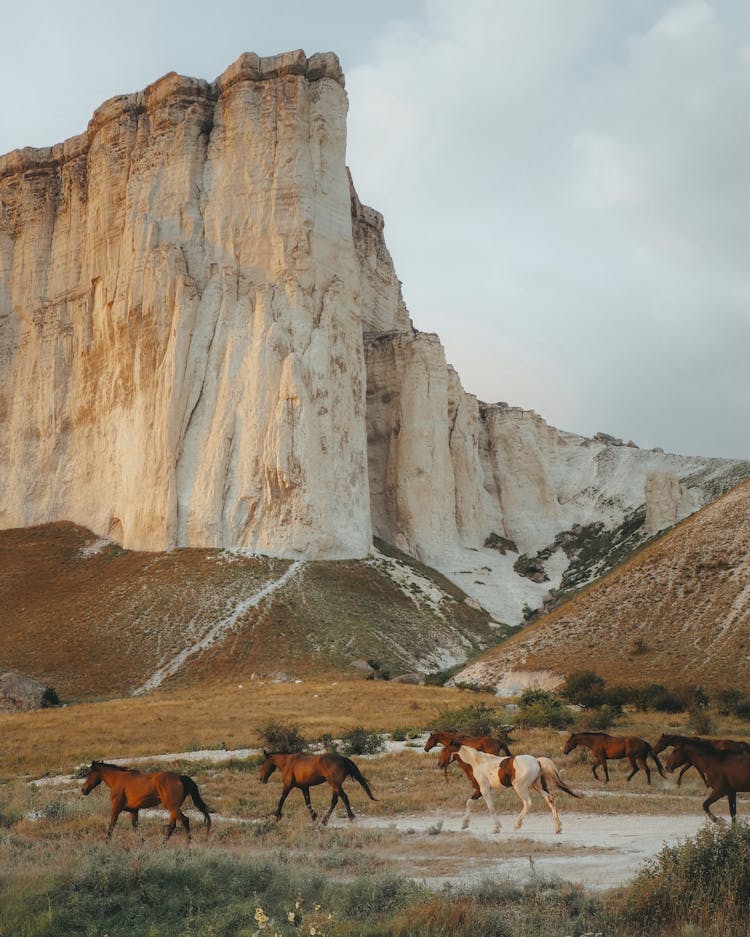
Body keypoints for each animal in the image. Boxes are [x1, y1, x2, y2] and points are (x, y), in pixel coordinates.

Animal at [81, 760, 212, 840]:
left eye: (89, 773)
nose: (83, 790)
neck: (117, 780)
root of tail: (180, 777)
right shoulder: (134, 811)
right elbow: (135, 828)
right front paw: (143, 842)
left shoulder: (116, 808)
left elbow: (111, 826)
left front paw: (107, 842)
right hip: (173, 808)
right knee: (172, 826)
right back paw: (163, 844)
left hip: (172, 807)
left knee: (185, 821)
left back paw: (187, 844)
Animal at [440, 744, 580, 832]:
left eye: (444, 751)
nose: (439, 764)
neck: (477, 763)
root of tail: (537, 761)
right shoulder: (479, 790)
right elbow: (469, 802)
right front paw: (464, 824)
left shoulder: (484, 790)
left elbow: (490, 807)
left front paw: (496, 828)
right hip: (538, 785)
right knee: (550, 799)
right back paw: (558, 827)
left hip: (520, 787)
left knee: (528, 803)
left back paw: (517, 824)